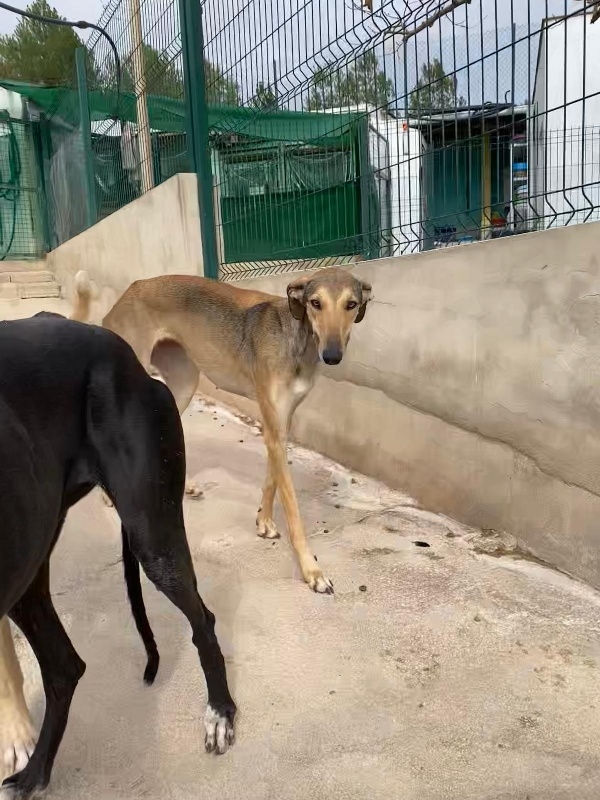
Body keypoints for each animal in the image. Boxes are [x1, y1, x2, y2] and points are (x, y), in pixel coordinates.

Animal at [0, 313, 235, 798]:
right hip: (29, 565)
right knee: (64, 666)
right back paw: (35, 774)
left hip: (153, 535)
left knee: (203, 620)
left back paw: (220, 712)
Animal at [71, 267, 372, 595]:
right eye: (316, 303)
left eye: (351, 304)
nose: (332, 355)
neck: (296, 338)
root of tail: (126, 295)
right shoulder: (273, 423)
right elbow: (293, 509)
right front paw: (312, 571)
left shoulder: (280, 424)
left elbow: (272, 479)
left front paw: (263, 521)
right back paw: (108, 494)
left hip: (183, 384)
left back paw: (185, 486)